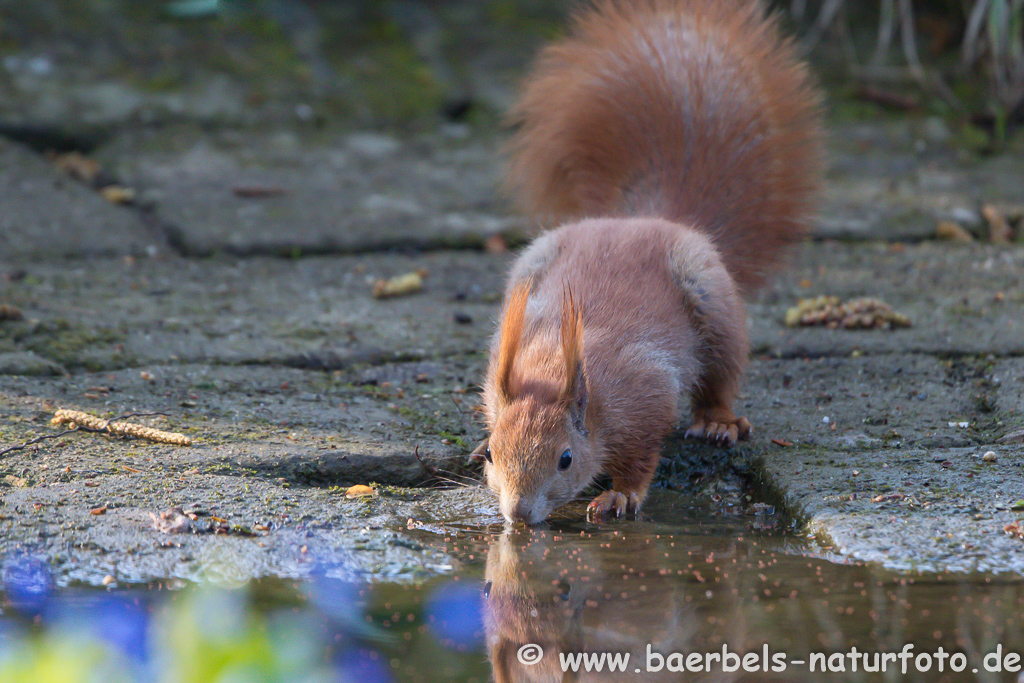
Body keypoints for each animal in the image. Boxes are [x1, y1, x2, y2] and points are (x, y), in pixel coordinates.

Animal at [479, 0, 823, 524]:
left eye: (565, 459)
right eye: (491, 454)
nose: (518, 514)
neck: (556, 366)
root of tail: (644, 219)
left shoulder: (646, 393)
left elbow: (641, 457)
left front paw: (620, 495)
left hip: (712, 301)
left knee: (719, 376)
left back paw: (718, 422)